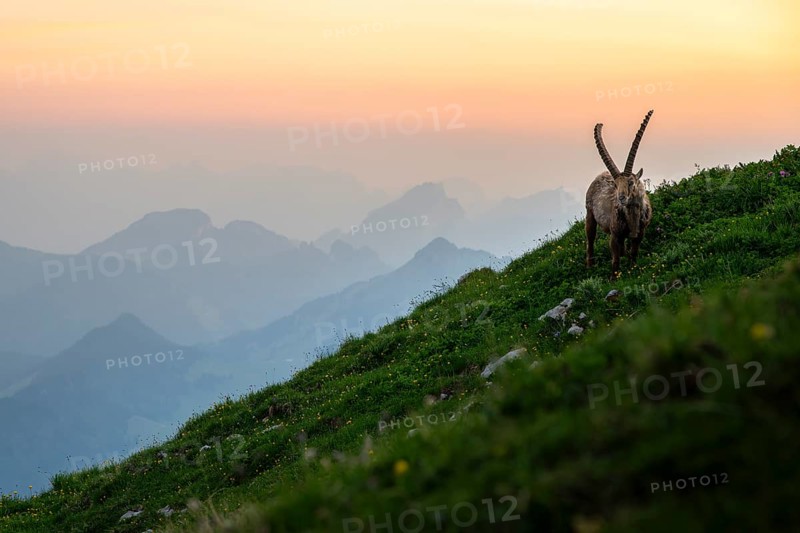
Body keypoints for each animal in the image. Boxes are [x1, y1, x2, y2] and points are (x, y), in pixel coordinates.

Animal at [585, 110, 654, 277]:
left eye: (631, 182)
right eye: (616, 185)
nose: (621, 199)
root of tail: (599, 176)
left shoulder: (641, 231)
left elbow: (634, 251)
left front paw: (633, 268)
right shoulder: (615, 235)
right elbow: (615, 259)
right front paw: (614, 278)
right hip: (589, 214)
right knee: (590, 238)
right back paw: (590, 265)